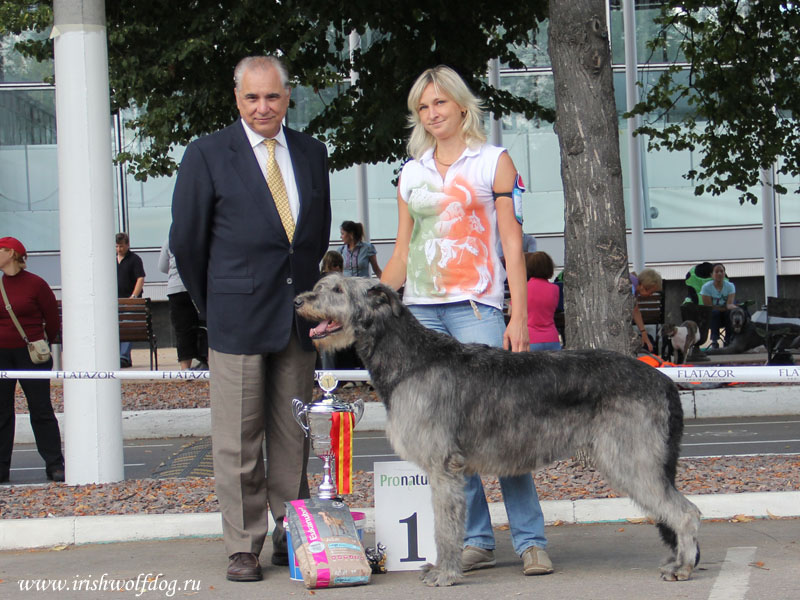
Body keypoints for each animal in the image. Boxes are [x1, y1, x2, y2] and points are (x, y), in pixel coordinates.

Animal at [296, 276, 700, 584]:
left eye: (337, 289)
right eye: (320, 285)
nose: (299, 299)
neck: (412, 359)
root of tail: (663, 379)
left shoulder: (442, 467)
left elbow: (444, 526)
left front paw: (445, 573)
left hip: (630, 458)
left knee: (685, 512)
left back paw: (682, 566)